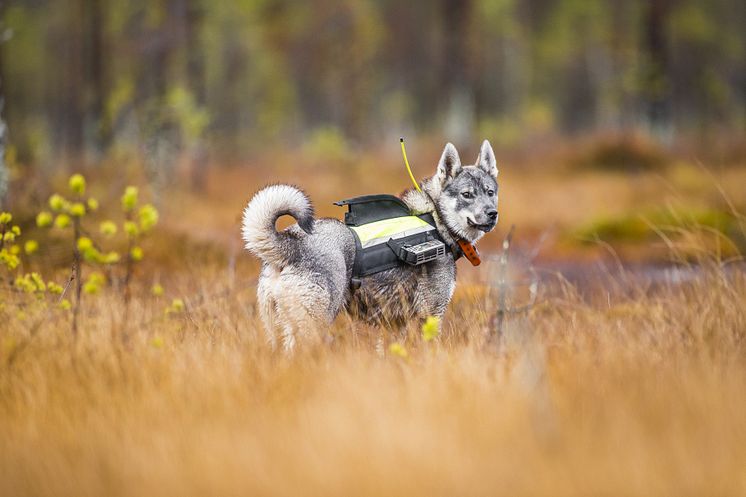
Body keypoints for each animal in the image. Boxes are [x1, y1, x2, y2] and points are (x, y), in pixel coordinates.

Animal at [241, 140, 496, 348]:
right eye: (466, 194)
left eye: (490, 192)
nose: (492, 213)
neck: (434, 217)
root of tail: (291, 245)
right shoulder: (431, 314)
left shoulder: (394, 324)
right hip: (312, 327)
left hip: (278, 331)